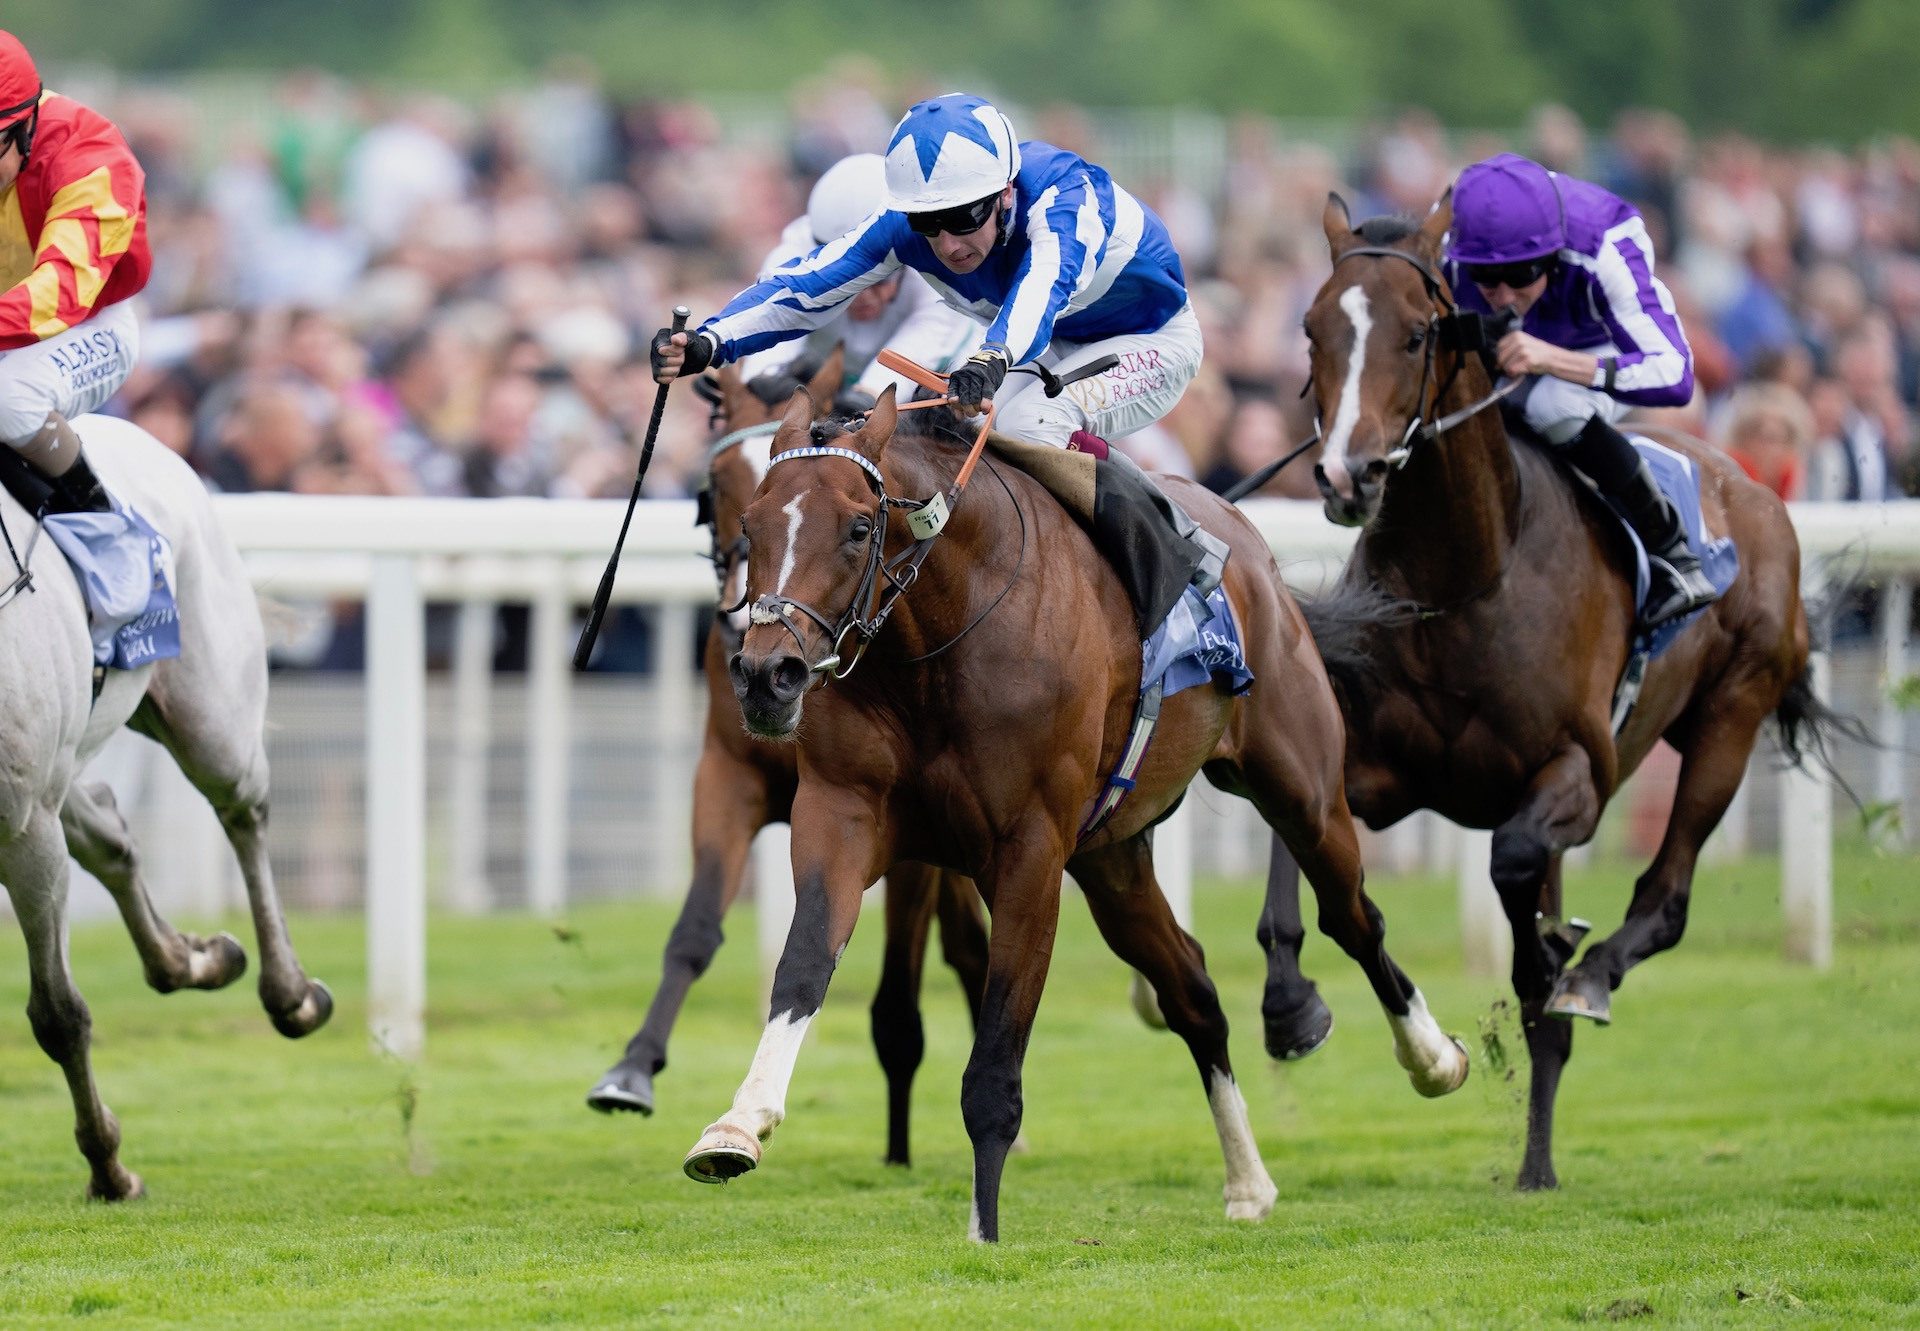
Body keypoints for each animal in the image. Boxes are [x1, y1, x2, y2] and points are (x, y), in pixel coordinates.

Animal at [0, 412, 330, 1190]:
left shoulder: (23, 832)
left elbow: (57, 1013)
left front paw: (109, 1167)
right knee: (111, 835)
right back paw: (190, 957)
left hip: (209, 718)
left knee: (243, 812)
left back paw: (289, 991)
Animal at [583, 347, 990, 1167]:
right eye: (724, 493)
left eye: (857, 528)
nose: (753, 639)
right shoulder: (730, 773)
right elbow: (695, 926)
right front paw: (631, 1070)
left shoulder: (894, 820)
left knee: (961, 947)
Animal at [679, 382, 1466, 1236]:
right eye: (752, 523)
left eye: (859, 527)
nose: (766, 674)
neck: (937, 638)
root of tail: (1252, 547)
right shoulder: (843, 814)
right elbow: (803, 965)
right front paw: (735, 1125)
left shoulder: (1028, 849)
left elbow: (995, 1060)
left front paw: (983, 1233)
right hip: (1111, 857)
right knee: (1192, 989)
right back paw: (1249, 1180)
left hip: (1303, 789)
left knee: (1354, 917)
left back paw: (1433, 1058)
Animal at [1259, 192, 1827, 1190]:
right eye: (1312, 327)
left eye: (1417, 334)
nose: (1345, 476)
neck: (1470, 578)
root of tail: (1751, 484)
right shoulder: (1374, 771)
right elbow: (1307, 846)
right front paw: (1292, 1004)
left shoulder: (1577, 777)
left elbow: (1518, 877)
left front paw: (1557, 964)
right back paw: (1536, 1152)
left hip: (1732, 713)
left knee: (1665, 896)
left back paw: (1585, 986)